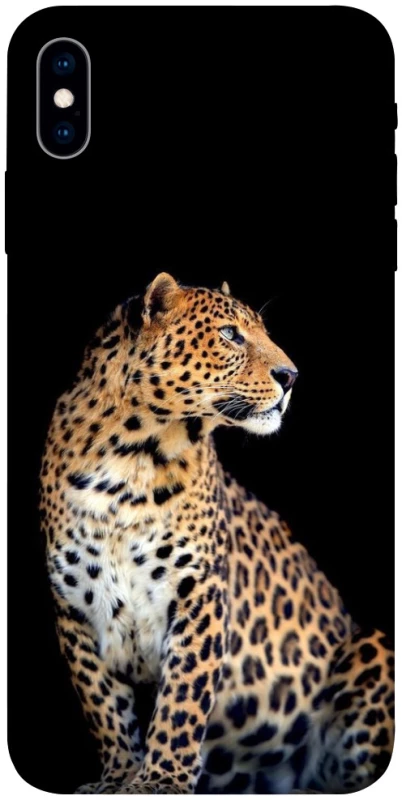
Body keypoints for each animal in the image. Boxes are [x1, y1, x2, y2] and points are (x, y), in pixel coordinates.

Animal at [40, 273, 394, 794]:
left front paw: (160, 780)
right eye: (230, 335)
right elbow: (103, 703)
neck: (130, 458)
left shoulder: (199, 592)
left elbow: (182, 698)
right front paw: (119, 776)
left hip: (373, 646)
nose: (291, 376)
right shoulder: (74, 608)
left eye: (263, 332)